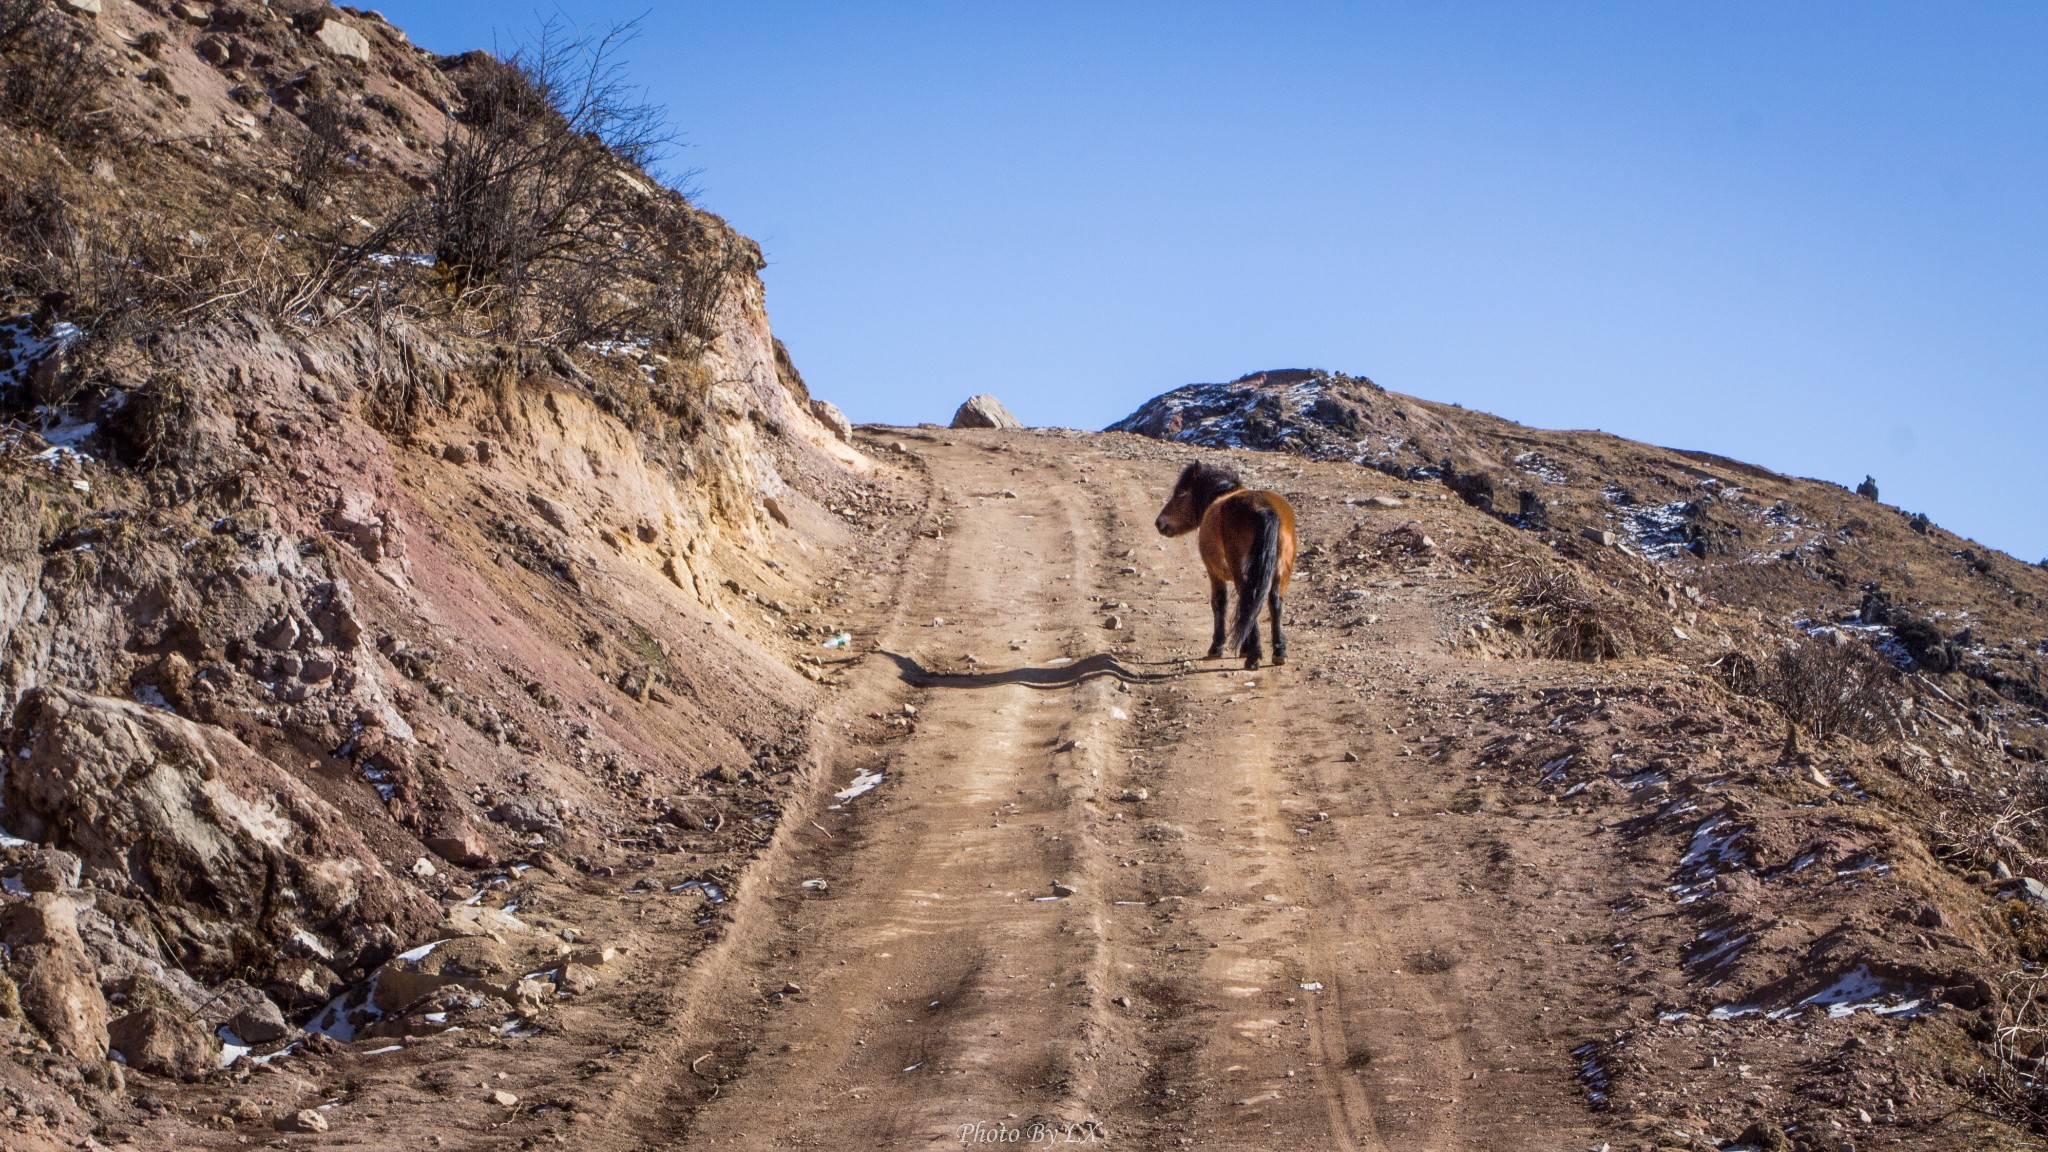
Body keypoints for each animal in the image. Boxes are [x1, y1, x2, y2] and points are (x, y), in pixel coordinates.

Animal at [1155, 459, 1294, 668]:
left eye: (1180, 493)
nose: (1159, 523)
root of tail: (1264, 509)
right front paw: (1244, 648)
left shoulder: (1214, 573)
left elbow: (1220, 603)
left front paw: (1217, 647)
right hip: (1280, 572)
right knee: (1273, 602)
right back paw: (1279, 652)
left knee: (1250, 602)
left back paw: (1254, 657)